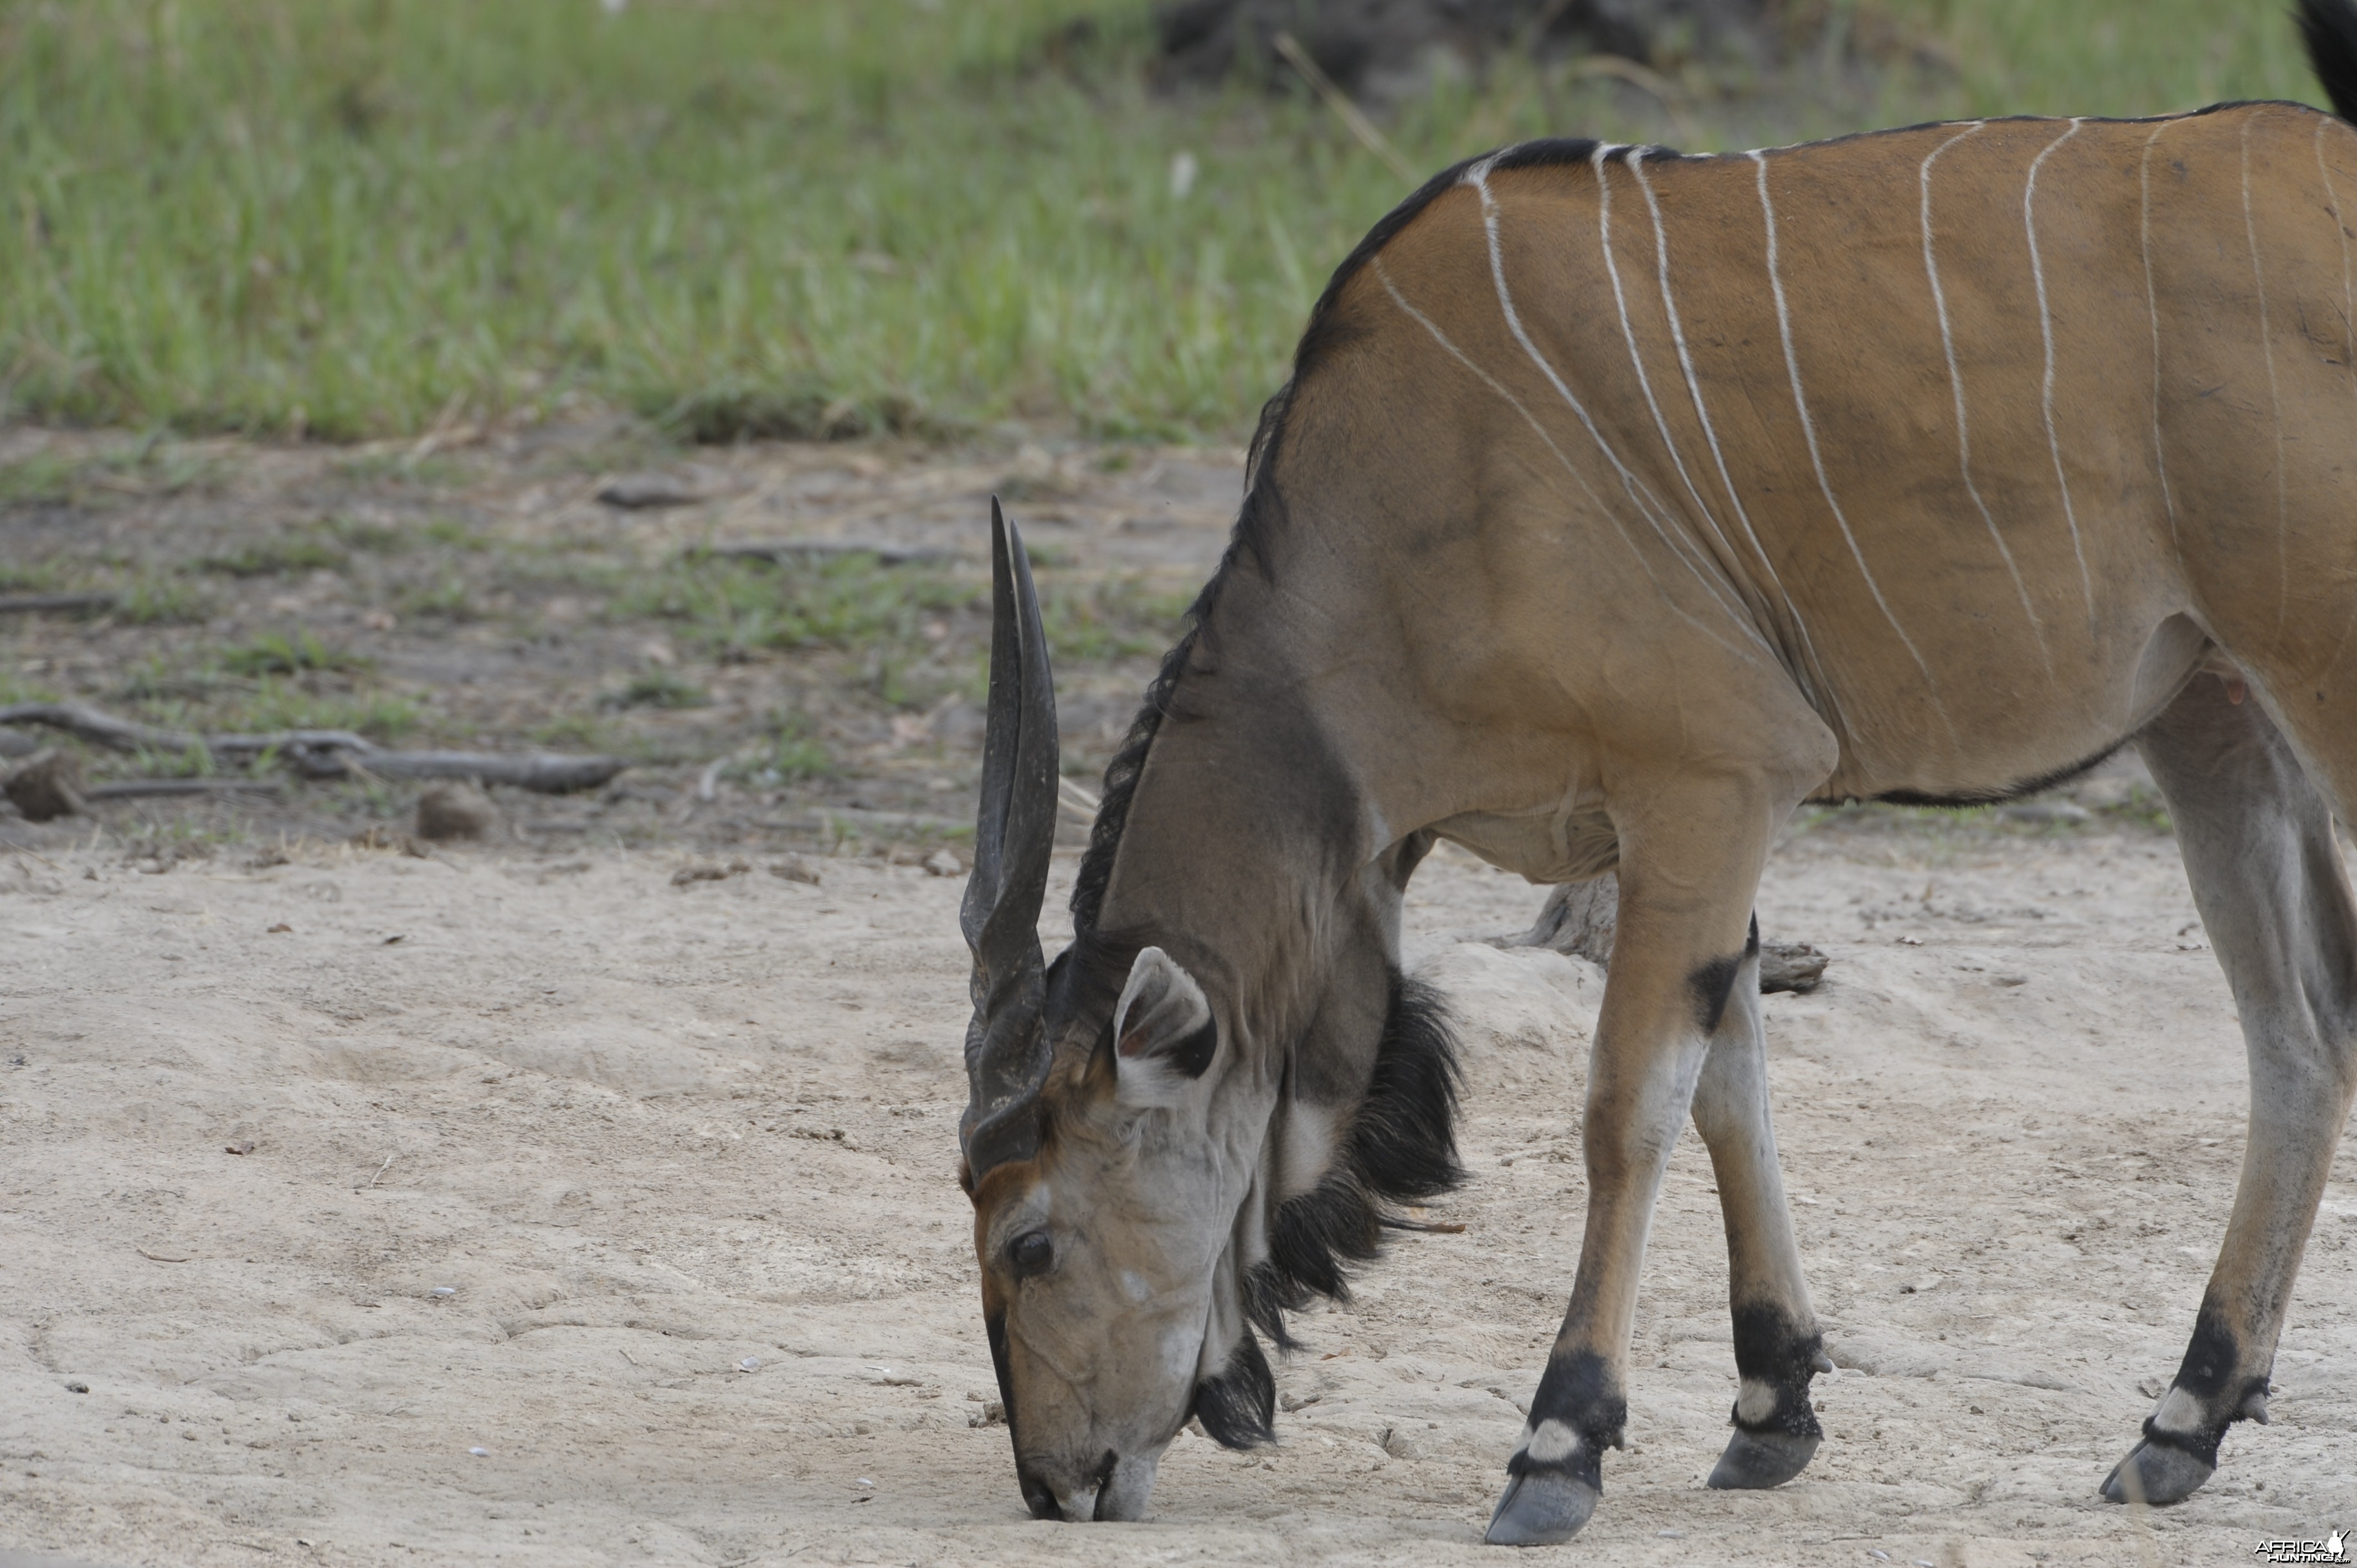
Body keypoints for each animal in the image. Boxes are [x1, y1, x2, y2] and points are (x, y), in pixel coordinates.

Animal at [947, 3, 2357, 1537]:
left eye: (1030, 1239)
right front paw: (1771, 1407)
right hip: (2215, 709)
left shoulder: (1712, 777)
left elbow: (1629, 1106)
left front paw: (1559, 1445)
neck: (1390, 506)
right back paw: (2185, 1419)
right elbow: (1733, 1074)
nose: (1054, 1481)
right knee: (2302, 1031)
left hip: (2314, 678)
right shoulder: (1675, 822)